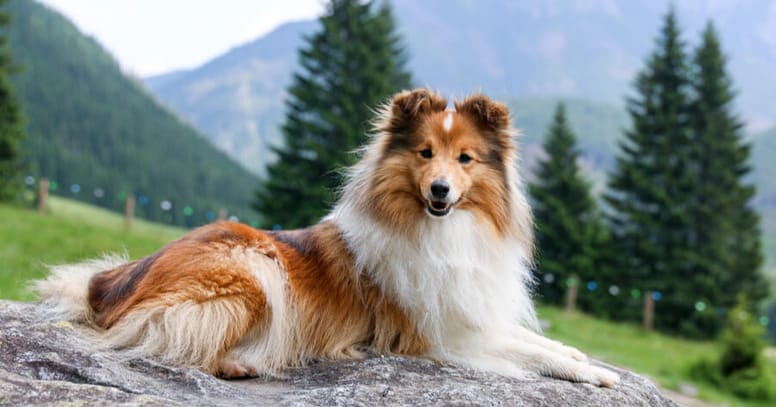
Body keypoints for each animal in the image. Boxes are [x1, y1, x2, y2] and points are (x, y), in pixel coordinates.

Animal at [36, 90, 620, 388]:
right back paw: (243, 362)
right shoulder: (438, 335)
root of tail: (108, 282)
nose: (439, 190)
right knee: (183, 344)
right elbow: (521, 351)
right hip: (253, 270)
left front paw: (578, 353)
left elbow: (531, 339)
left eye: (466, 159)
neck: (440, 230)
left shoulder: (470, 313)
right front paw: (588, 373)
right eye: (425, 153)